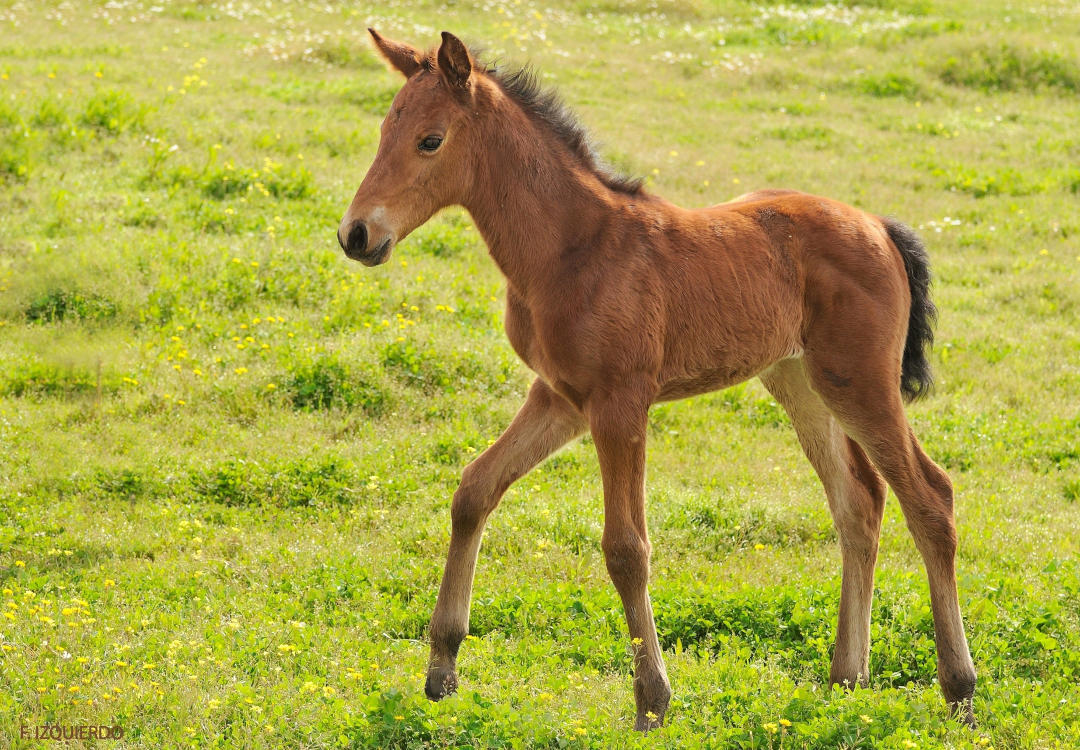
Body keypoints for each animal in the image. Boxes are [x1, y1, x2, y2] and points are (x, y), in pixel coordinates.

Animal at [339, 30, 980, 734]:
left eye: (431, 140)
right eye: (384, 130)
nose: (357, 234)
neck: (570, 249)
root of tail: (882, 229)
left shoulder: (620, 402)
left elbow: (626, 547)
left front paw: (652, 699)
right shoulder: (561, 398)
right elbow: (474, 490)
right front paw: (442, 668)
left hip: (861, 382)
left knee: (931, 498)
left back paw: (959, 689)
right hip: (800, 381)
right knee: (859, 502)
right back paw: (846, 679)